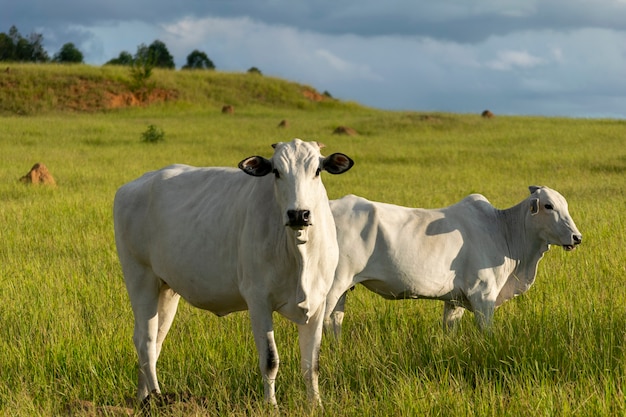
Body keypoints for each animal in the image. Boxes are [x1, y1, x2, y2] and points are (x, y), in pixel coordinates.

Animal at [112, 138, 354, 404]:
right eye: (276, 171)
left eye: (317, 171)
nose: (298, 214)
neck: (299, 253)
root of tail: (133, 185)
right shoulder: (258, 300)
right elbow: (270, 360)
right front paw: (271, 405)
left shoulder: (318, 301)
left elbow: (312, 364)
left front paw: (316, 405)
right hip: (139, 278)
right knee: (144, 341)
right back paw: (157, 398)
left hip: (166, 289)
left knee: (155, 341)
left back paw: (143, 399)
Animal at [324, 184, 584, 334]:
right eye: (548, 206)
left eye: (565, 205)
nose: (577, 237)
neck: (503, 231)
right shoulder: (483, 295)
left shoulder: (455, 300)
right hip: (331, 287)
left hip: (343, 291)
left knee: (334, 323)